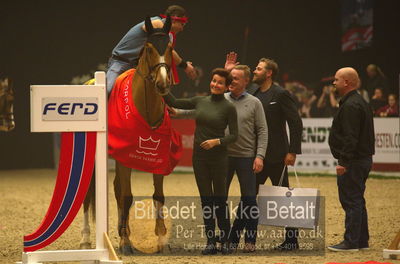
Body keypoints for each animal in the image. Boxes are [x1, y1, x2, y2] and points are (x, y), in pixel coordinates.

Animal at [80, 15, 180, 255]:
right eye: (149, 48)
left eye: (170, 48)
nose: (163, 83)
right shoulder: (124, 159)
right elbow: (126, 196)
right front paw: (125, 242)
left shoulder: (156, 158)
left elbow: (157, 195)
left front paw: (161, 240)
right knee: (89, 196)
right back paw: (86, 239)